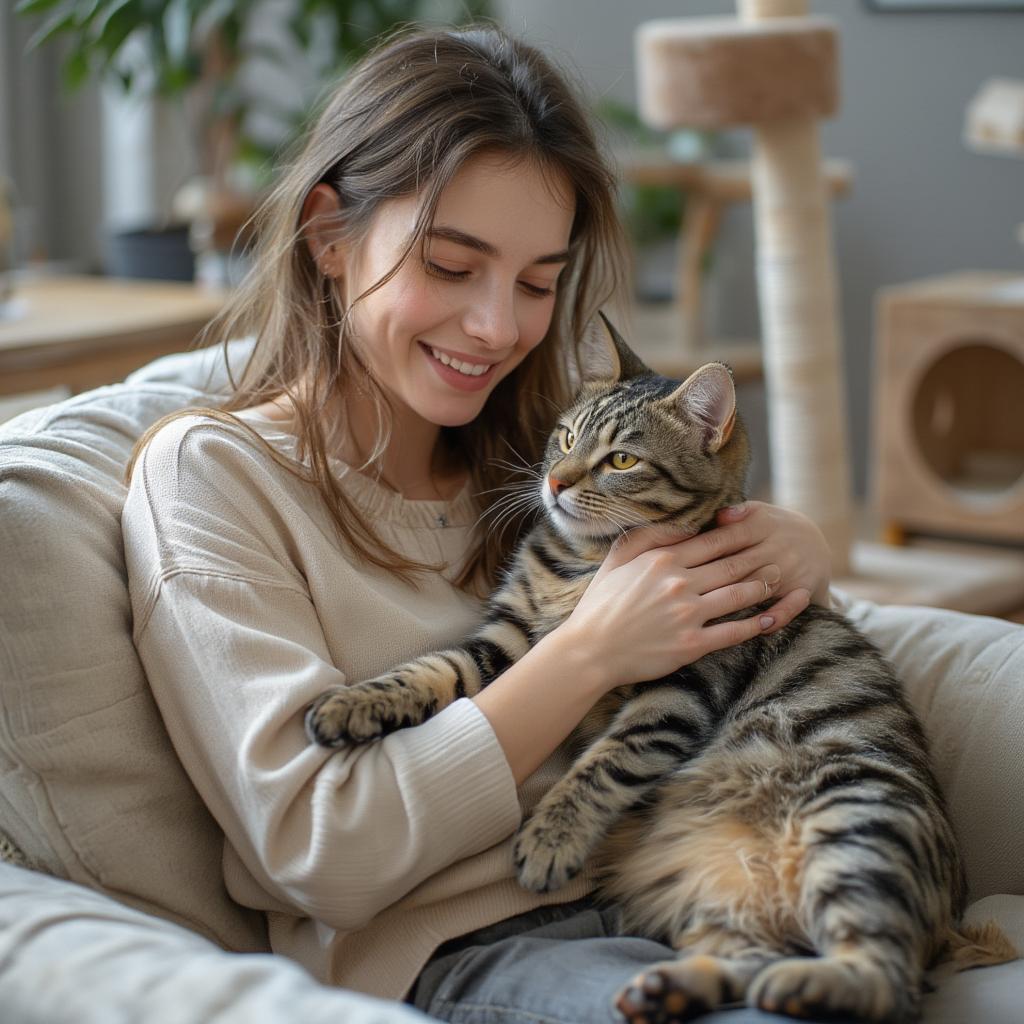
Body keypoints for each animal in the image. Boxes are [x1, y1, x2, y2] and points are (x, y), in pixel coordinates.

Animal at [303, 315, 1015, 1019]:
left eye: (621, 459)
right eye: (565, 437)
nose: (555, 483)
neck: (585, 566)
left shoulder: (678, 690)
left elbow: (600, 766)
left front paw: (550, 840)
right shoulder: (507, 640)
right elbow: (431, 671)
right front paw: (352, 704)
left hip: (857, 817)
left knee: (885, 980)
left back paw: (805, 986)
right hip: (734, 899)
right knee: (754, 955)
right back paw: (671, 988)